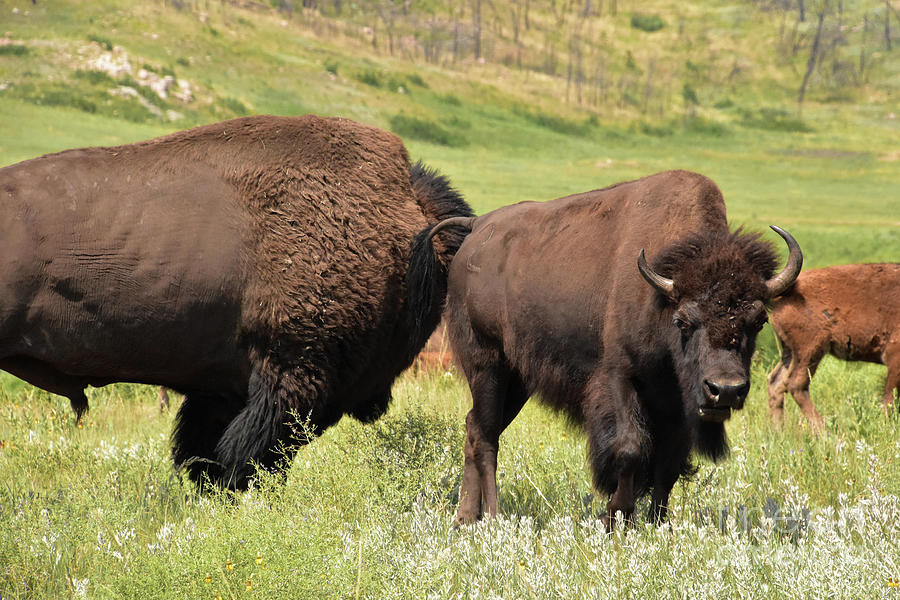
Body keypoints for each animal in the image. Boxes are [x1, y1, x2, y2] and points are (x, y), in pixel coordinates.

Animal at [442, 171, 800, 528]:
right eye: (683, 321)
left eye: (759, 320)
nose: (725, 390)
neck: (660, 301)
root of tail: (477, 228)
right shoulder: (619, 378)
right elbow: (629, 448)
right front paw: (615, 516)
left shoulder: (677, 404)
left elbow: (668, 466)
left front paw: (659, 524)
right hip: (487, 364)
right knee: (487, 436)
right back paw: (492, 517)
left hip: (518, 382)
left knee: (474, 426)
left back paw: (465, 517)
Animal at [768, 262, 900, 426]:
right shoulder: (894, 357)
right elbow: (890, 399)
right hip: (810, 351)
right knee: (796, 385)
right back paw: (823, 430)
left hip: (791, 353)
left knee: (776, 382)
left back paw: (778, 430)